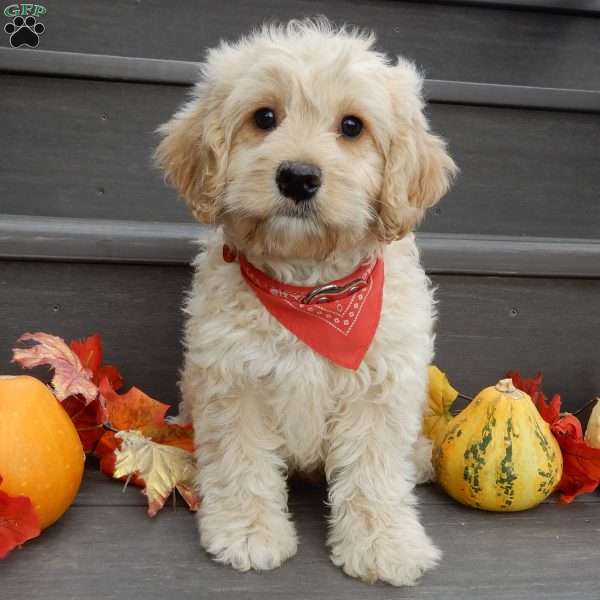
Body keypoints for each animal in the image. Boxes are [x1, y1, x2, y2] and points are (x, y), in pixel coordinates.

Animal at [157, 17, 458, 584]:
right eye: (264, 117)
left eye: (352, 126)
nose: (298, 176)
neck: (312, 290)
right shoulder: (232, 381)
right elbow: (242, 462)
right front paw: (248, 533)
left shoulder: (379, 387)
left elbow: (373, 472)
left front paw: (384, 544)